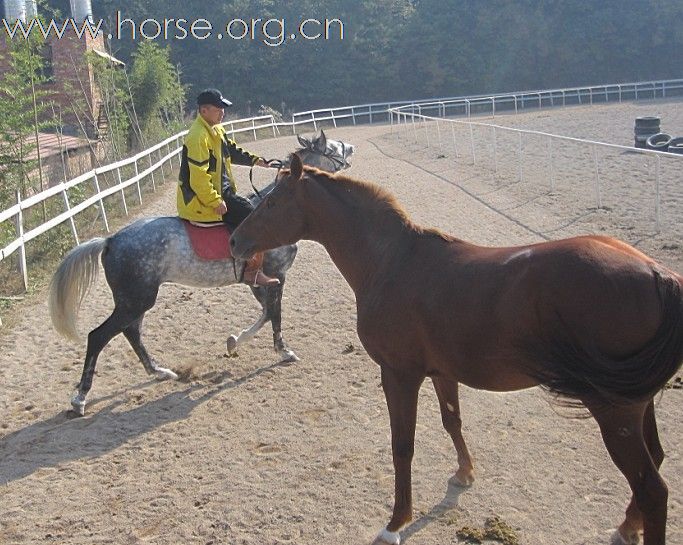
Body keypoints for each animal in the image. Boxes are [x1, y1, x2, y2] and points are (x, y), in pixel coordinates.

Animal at [49, 130, 352, 414]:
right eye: (333, 147)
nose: (351, 147)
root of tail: (110, 240)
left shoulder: (257, 282)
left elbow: (266, 313)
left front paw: (234, 341)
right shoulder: (277, 276)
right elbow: (275, 315)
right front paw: (283, 351)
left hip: (135, 301)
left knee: (131, 332)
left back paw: (160, 371)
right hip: (135, 300)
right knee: (99, 336)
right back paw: (80, 398)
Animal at [231, 152, 683, 544]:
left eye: (271, 202)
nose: (235, 240)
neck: (393, 262)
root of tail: (657, 274)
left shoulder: (399, 375)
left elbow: (402, 446)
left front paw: (396, 522)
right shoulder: (442, 373)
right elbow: (452, 421)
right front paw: (465, 473)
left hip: (614, 410)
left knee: (652, 488)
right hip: (636, 403)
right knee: (656, 463)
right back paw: (627, 527)